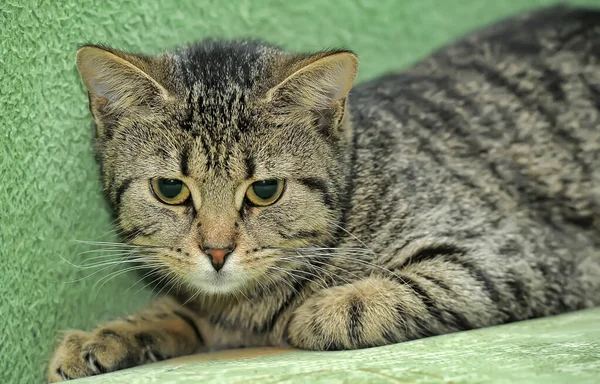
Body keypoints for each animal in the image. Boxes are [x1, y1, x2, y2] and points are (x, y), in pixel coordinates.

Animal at [47, 5, 600, 380]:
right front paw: (105, 336)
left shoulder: (513, 254)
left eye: (265, 190)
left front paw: (323, 309)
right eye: (170, 189)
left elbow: (405, 290)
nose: (217, 251)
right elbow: (174, 313)